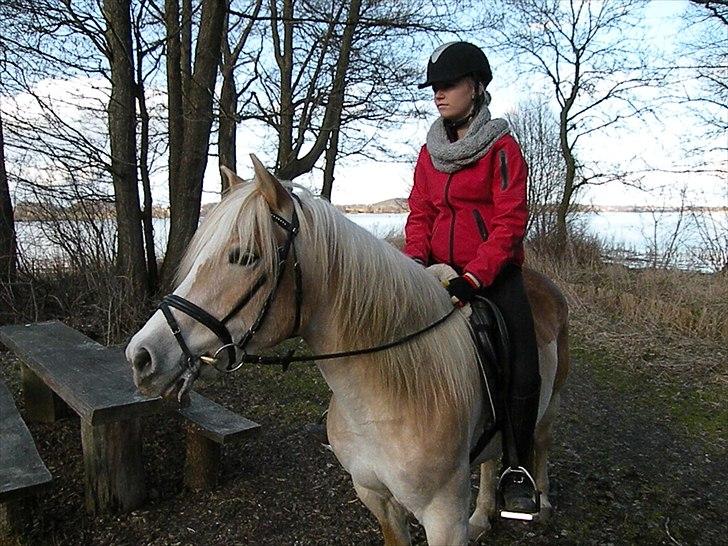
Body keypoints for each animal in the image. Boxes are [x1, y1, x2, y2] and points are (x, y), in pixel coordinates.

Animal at [126, 155, 568, 540]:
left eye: (245, 256)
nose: (142, 356)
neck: (386, 399)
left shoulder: (443, 518)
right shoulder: (377, 498)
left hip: (551, 402)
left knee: (542, 440)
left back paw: (541, 503)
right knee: (492, 459)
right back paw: (481, 516)